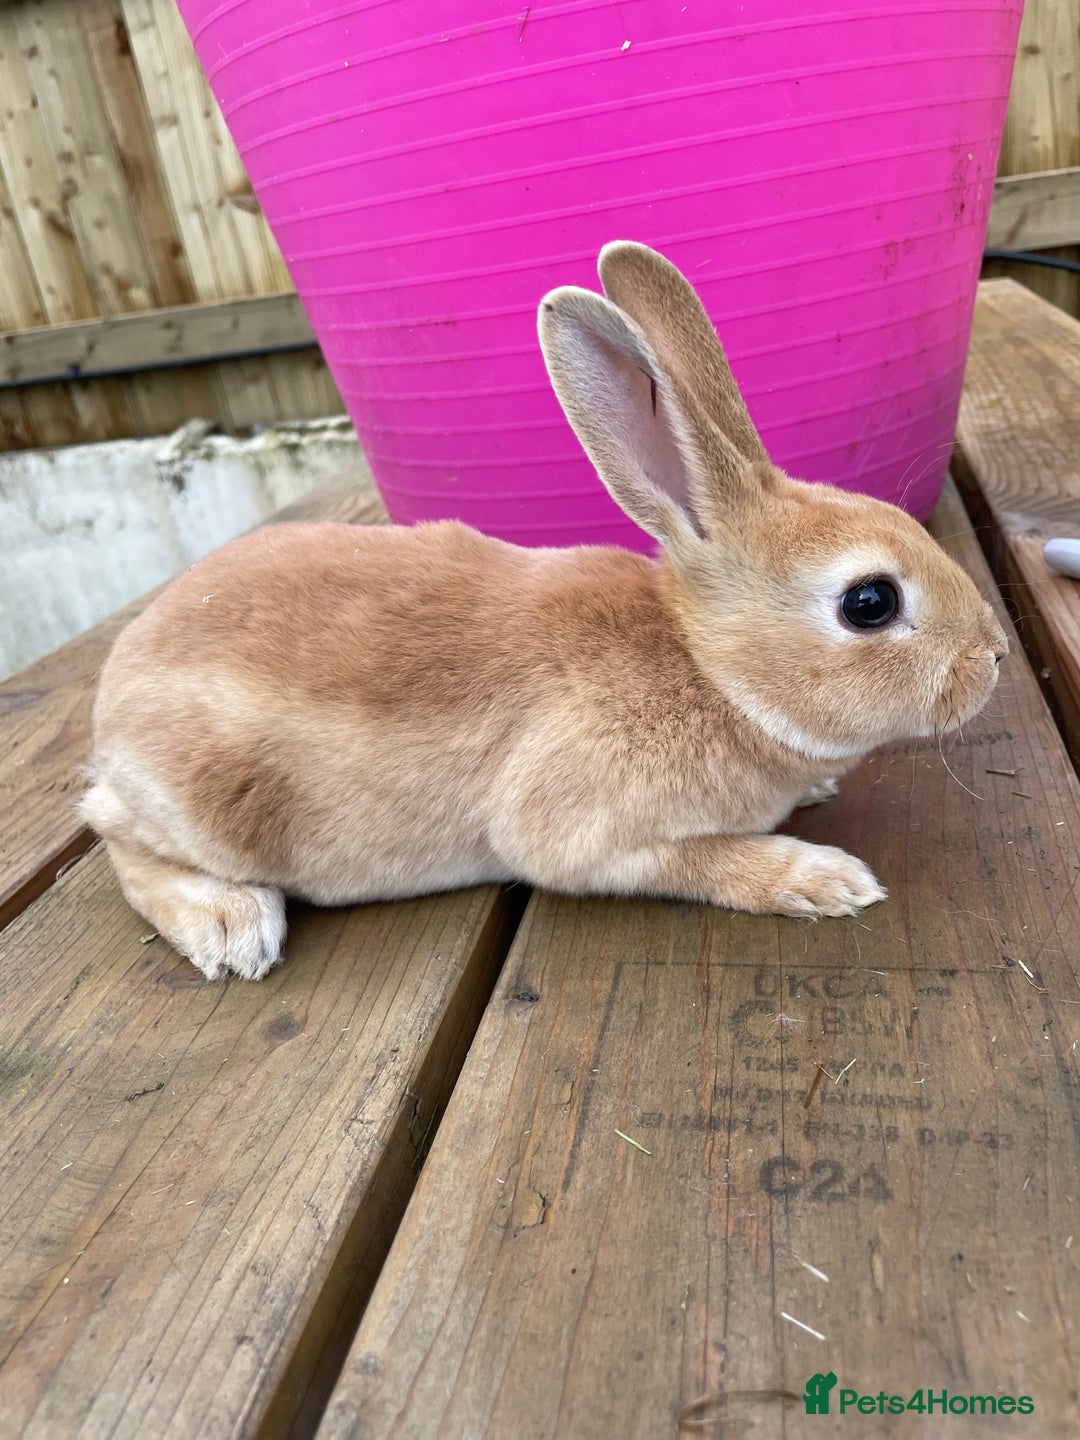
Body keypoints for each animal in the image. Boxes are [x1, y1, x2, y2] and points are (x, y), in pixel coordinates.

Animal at [80, 242, 1008, 981]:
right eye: (870, 602)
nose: (995, 656)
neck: (709, 670)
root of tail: (112, 694)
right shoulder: (591, 838)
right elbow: (702, 862)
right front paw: (823, 879)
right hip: (205, 806)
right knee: (113, 835)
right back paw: (228, 925)